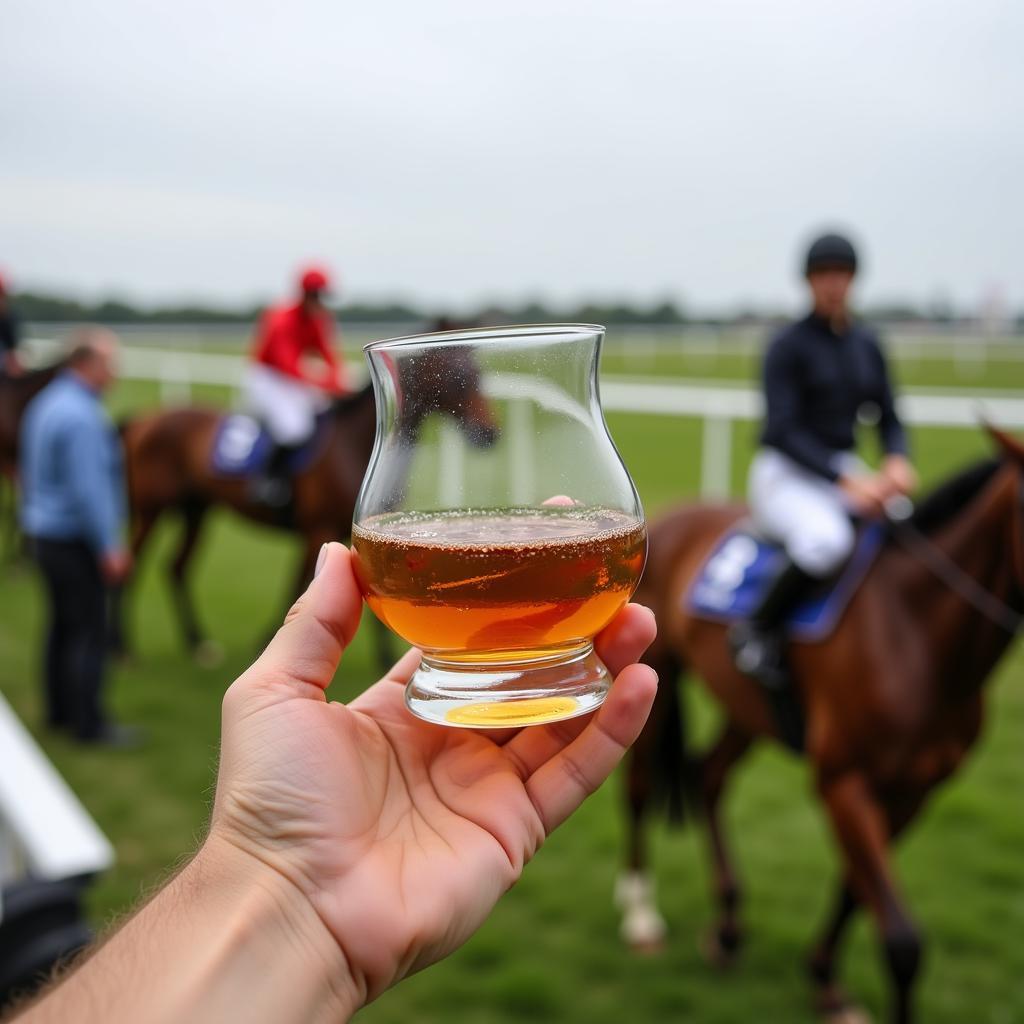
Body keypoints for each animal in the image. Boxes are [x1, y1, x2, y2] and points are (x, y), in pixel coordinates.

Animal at [119, 344, 499, 663]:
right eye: (461, 376)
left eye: (481, 374)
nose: (490, 434)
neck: (351, 443)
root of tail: (145, 418)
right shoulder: (319, 528)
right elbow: (299, 584)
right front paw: (268, 641)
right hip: (152, 510)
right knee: (132, 565)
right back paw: (124, 648)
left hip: (195, 510)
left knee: (176, 568)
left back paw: (197, 643)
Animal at [618, 423, 1024, 1024]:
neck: (917, 636)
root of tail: (669, 516)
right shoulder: (842, 780)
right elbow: (902, 940)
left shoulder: (915, 792)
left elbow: (857, 891)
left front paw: (824, 978)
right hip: (658, 678)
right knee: (642, 788)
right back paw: (640, 915)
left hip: (747, 709)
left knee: (706, 775)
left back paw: (729, 928)